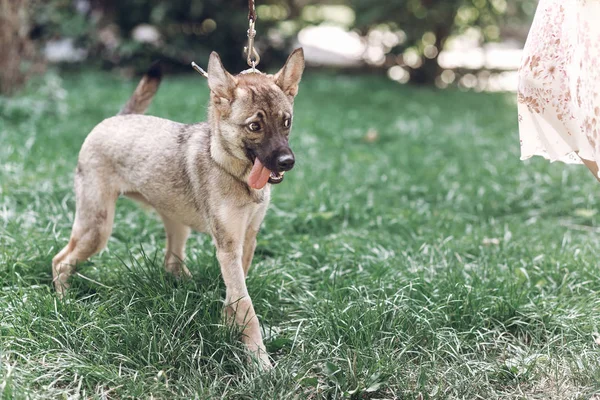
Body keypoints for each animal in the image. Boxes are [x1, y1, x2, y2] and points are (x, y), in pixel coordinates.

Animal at [51, 48, 304, 368]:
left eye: (287, 122)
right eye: (254, 126)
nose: (287, 162)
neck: (231, 169)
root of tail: (118, 118)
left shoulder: (247, 241)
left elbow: (236, 295)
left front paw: (228, 328)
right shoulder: (228, 247)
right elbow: (246, 306)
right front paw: (259, 363)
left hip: (175, 223)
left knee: (171, 262)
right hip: (95, 228)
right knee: (61, 260)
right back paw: (63, 302)